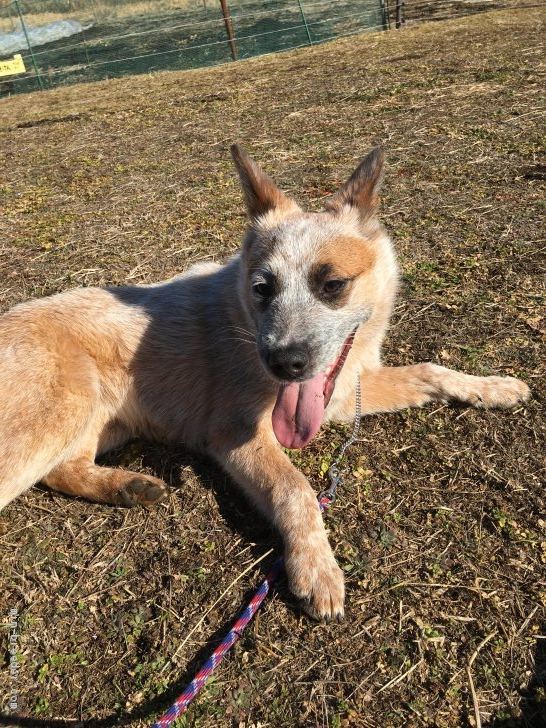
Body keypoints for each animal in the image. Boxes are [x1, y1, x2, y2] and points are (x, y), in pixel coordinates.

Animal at [0, 146, 528, 620]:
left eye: (332, 285)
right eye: (262, 288)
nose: (283, 363)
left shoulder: (343, 395)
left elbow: (430, 371)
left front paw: (495, 387)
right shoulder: (234, 434)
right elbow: (295, 489)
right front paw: (316, 568)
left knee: (62, 471)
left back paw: (128, 486)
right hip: (59, 413)